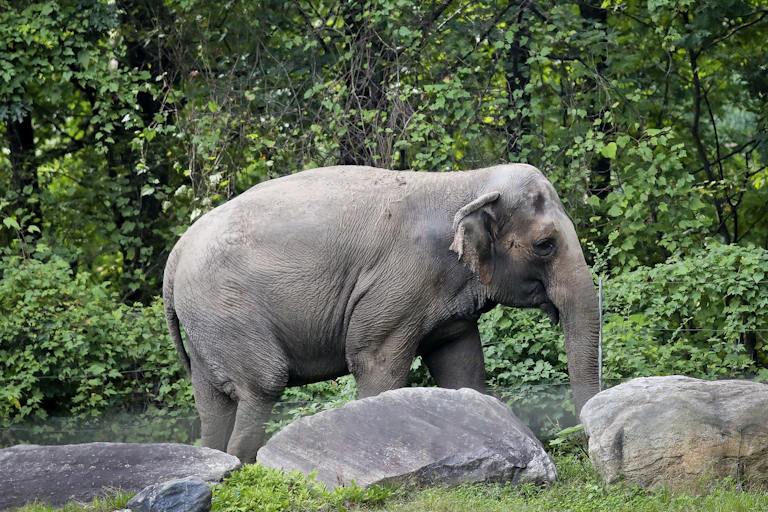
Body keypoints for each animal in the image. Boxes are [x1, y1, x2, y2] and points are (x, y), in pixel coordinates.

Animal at [163, 163, 600, 463]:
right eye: (544, 245)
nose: (584, 445)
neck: (467, 182)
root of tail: (176, 253)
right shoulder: (397, 284)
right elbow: (375, 363)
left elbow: (462, 367)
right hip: (227, 309)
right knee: (263, 385)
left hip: (206, 323)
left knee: (212, 403)